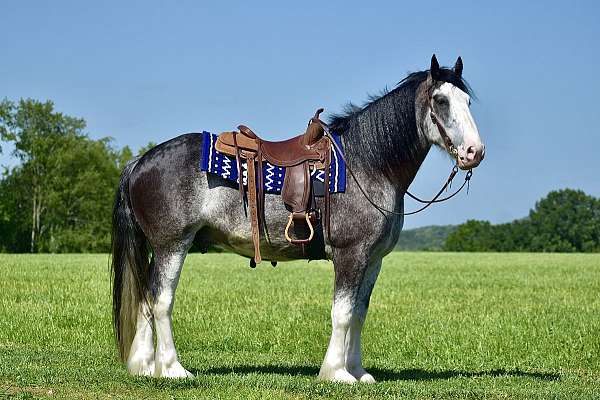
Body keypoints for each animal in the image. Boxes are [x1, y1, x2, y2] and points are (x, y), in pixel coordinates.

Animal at [112, 54, 486, 382]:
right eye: (440, 100)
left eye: (467, 101)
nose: (474, 152)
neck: (367, 163)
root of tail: (140, 161)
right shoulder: (351, 256)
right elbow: (342, 313)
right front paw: (337, 373)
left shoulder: (373, 259)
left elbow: (359, 314)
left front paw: (358, 371)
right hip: (172, 245)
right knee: (161, 300)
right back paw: (172, 369)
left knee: (145, 298)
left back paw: (144, 366)